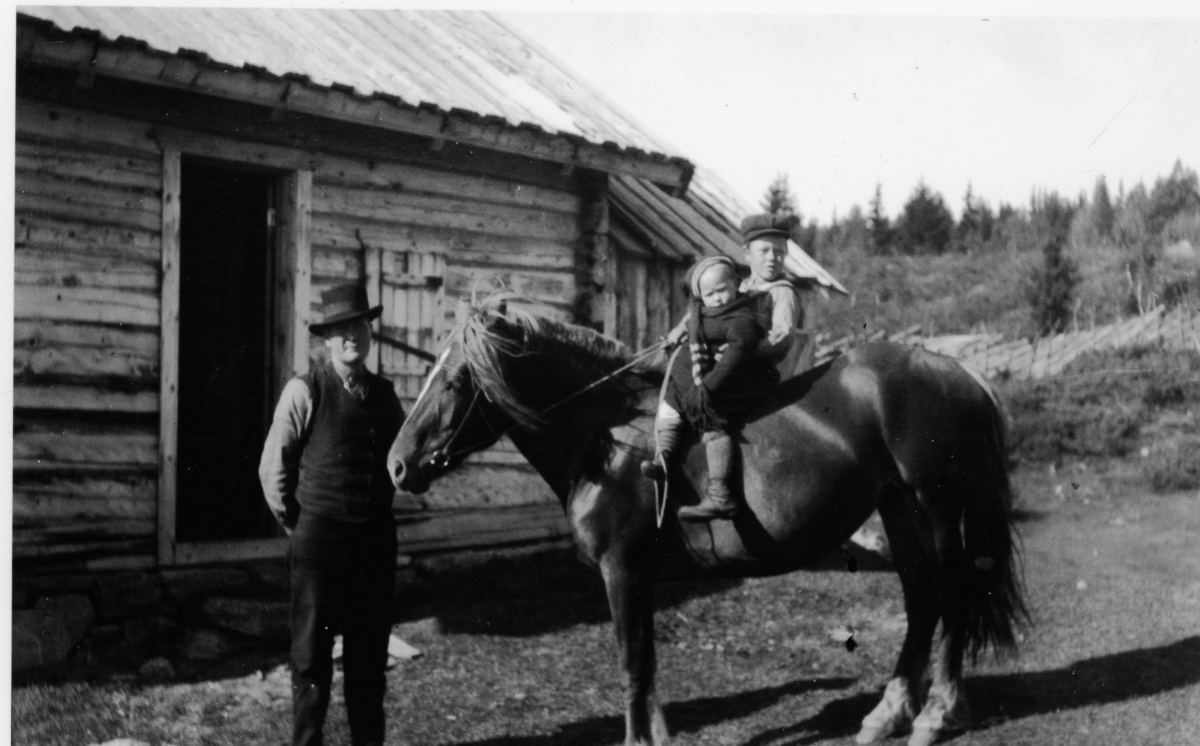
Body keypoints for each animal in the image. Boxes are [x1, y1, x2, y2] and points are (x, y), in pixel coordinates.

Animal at [388, 296, 1027, 746]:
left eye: (454, 381)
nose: (397, 464)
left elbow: (631, 664)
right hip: (899, 509)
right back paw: (888, 713)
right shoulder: (639, 578)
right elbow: (645, 665)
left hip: (936, 507)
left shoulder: (622, 572)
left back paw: (936, 714)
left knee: (953, 595)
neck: (607, 438)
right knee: (923, 602)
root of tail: (961, 373)